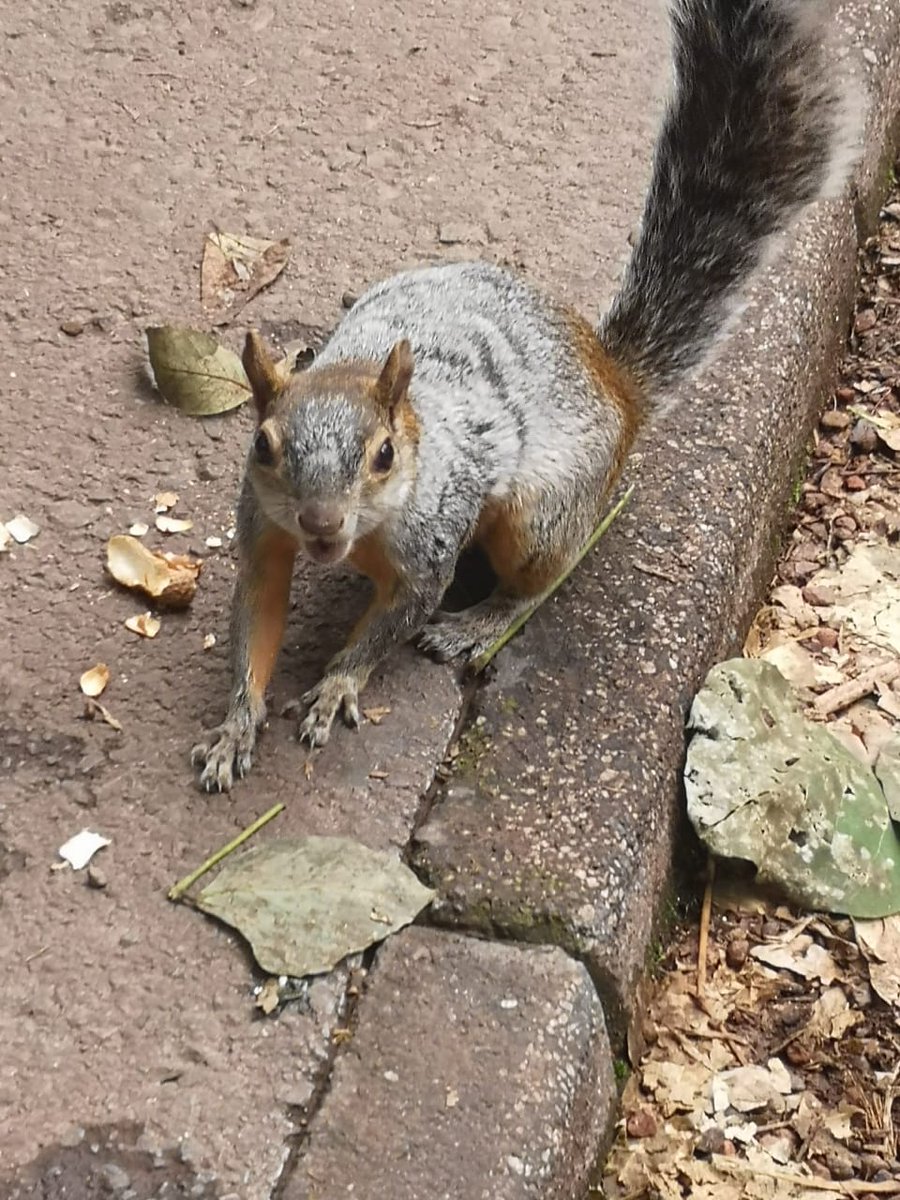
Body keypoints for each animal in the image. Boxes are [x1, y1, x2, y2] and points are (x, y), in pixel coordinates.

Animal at [192, 0, 857, 791]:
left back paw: (481, 621)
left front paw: (336, 685)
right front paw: (235, 724)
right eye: (263, 445)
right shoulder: (264, 533)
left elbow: (393, 623)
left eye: (383, 455)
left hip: (537, 511)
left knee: (548, 573)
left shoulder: (431, 550)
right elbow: (256, 616)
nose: (321, 526)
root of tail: (617, 386)